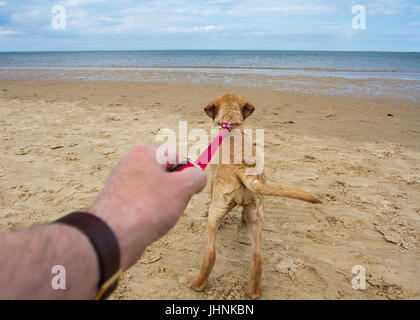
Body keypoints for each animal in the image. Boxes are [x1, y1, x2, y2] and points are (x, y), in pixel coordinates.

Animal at [189, 94, 320, 298]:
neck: (231, 124)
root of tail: (243, 168)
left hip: (215, 213)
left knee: (211, 253)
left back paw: (197, 284)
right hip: (256, 215)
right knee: (257, 256)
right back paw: (253, 291)